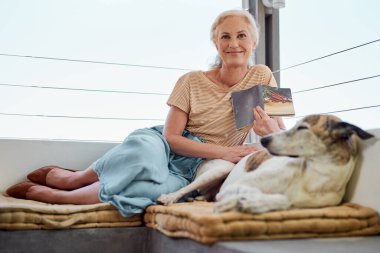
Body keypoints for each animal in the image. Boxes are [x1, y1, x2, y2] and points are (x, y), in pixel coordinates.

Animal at [157, 115, 374, 213]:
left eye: (302, 128)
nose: (264, 140)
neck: (311, 179)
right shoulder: (237, 186)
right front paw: (247, 200)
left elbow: (284, 200)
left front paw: (255, 202)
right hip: (221, 170)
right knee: (186, 189)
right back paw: (169, 198)